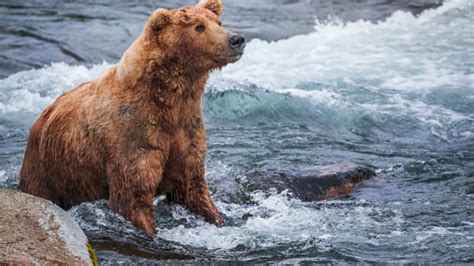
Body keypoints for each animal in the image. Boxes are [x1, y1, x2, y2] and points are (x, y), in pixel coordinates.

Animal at [20, 0, 246, 234]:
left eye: (218, 22)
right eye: (199, 27)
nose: (236, 40)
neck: (170, 101)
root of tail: (43, 115)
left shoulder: (186, 129)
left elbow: (192, 187)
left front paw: (219, 219)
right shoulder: (134, 135)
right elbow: (134, 197)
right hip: (49, 170)